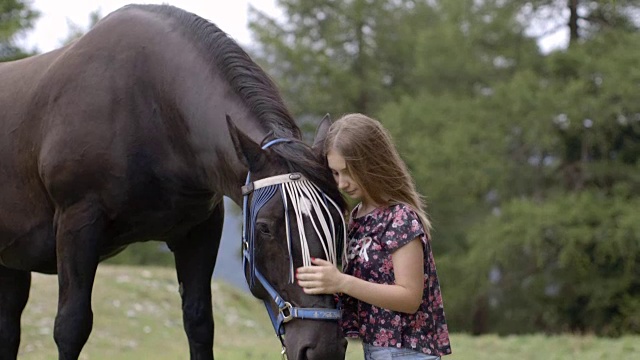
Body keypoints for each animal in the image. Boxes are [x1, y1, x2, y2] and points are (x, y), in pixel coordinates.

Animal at [0, 3, 344, 360]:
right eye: (264, 228)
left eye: (339, 221)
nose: (323, 348)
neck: (149, 105)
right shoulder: (77, 223)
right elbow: (71, 326)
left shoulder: (200, 230)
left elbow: (199, 321)